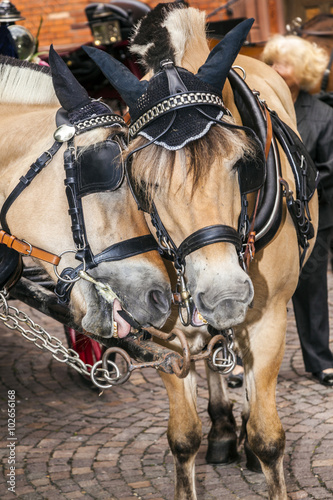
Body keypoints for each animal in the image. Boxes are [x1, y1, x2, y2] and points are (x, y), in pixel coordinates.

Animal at [84, 1, 318, 498]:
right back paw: (223, 429)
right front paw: (209, 434)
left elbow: (268, 437)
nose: (225, 293)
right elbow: (182, 437)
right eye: (144, 182)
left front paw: (255, 444)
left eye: (242, 164)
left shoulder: (268, 317)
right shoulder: (164, 330)